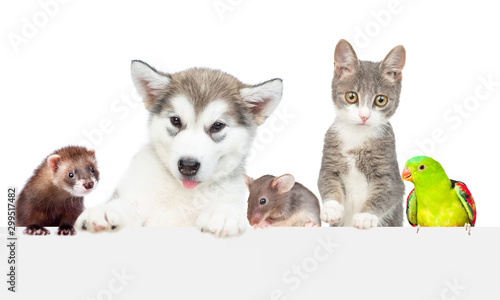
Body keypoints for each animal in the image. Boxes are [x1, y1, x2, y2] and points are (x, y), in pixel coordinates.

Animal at [76, 61, 284, 238]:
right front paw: (107, 211)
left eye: (217, 126)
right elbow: (129, 204)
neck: (183, 192)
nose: (188, 165)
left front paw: (223, 213)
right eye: (175, 120)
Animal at [320, 38, 406, 229]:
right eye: (351, 96)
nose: (364, 116)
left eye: (380, 100)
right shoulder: (330, 160)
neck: (357, 137)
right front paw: (331, 209)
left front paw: (366, 216)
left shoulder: (390, 172)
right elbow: (327, 182)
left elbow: (386, 193)